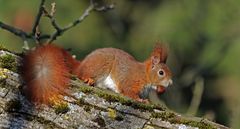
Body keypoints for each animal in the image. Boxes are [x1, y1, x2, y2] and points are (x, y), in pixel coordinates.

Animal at [22, 43, 172, 104]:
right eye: (161, 72)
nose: (170, 83)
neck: (145, 75)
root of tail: (81, 64)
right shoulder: (130, 81)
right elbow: (129, 91)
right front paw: (140, 100)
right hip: (101, 65)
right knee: (82, 74)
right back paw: (89, 79)